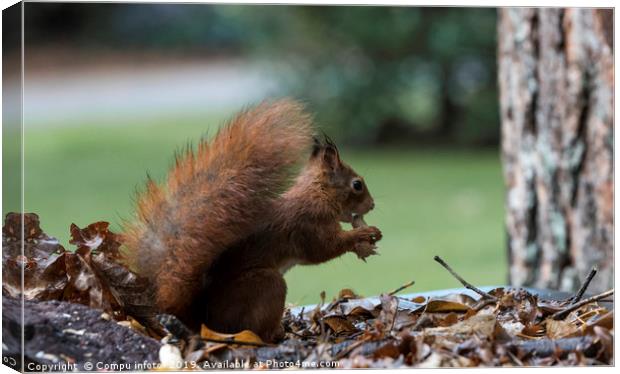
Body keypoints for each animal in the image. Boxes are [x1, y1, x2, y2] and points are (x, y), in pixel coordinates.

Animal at [121, 99, 380, 342]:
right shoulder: (308, 224)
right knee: (257, 330)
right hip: (266, 284)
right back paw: (276, 333)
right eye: (357, 185)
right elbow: (323, 249)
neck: (318, 194)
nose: (372, 205)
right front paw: (364, 234)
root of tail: (205, 322)